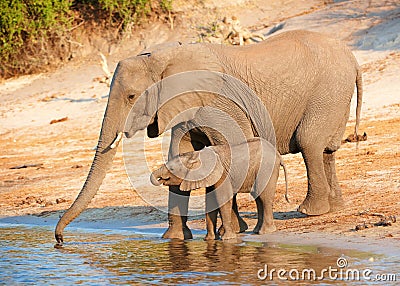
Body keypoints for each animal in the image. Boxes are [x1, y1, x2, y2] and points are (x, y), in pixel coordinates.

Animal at [149, 137, 288, 240]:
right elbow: (211, 202)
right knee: (258, 198)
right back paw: (256, 231)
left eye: (172, 169)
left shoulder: (222, 175)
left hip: (267, 169)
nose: (160, 179)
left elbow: (223, 200)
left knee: (264, 197)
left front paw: (227, 239)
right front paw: (209, 239)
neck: (195, 154)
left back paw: (265, 232)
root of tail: (278, 155)